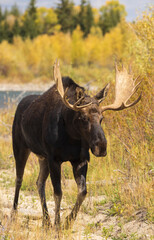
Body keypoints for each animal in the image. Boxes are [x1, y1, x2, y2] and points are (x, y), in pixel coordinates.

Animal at [11, 60, 142, 229]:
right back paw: (14, 216)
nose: (101, 147)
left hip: (42, 157)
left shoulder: (80, 160)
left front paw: (67, 221)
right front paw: (58, 225)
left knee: (39, 182)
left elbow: (82, 192)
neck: (71, 137)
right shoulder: (54, 159)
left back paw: (46, 221)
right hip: (20, 147)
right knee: (19, 180)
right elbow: (58, 193)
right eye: (83, 118)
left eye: (102, 118)